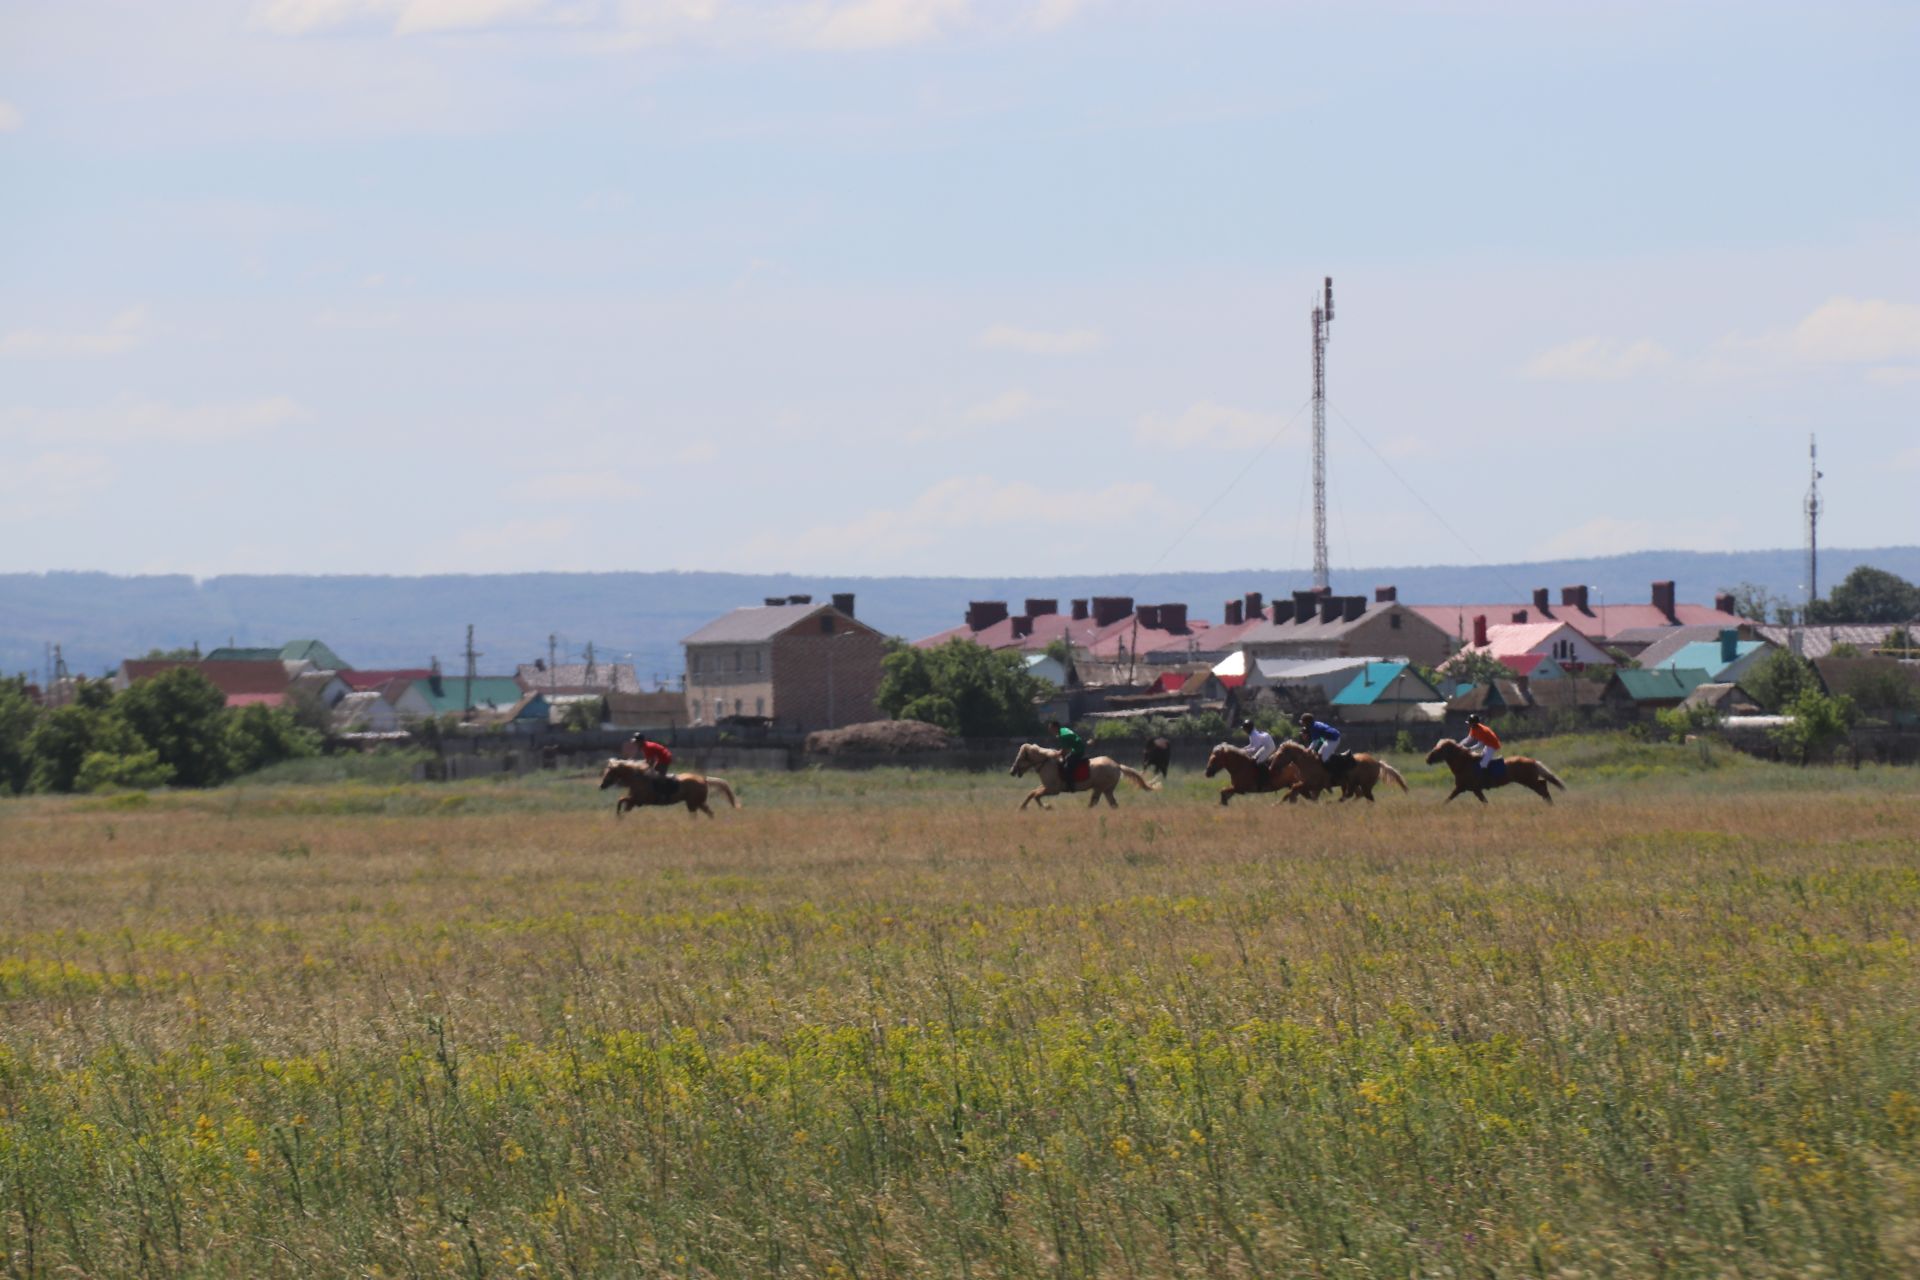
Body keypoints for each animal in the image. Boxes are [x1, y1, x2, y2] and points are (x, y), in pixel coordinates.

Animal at [599, 759, 741, 821]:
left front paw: (618, 816)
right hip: (697, 803)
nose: (602, 785)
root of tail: (703, 779)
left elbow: (620, 800)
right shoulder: (633, 802)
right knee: (708, 813)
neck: (638, 778)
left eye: (609, 772)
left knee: (701, 814)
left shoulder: (638, 800)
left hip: (694, 803)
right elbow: (623, 804)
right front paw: (620, 817)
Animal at [1006, 740, 1152, 809]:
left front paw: (1047, 807)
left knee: (1094, 802)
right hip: (1107, 790)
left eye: (1021, 758)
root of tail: (1117, 765)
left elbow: (1036, 795)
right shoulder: (1046, 787)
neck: (1046, 762)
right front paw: (1022, 807)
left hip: (1099, 788)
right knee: (1112, 804)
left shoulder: (1053, 789)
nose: (1012, 771)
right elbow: (1032, 793)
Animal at [1274, 736, 1413, 805]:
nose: (1272, 766)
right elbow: (1296, 791)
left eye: (1280, 754)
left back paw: (1334, 803)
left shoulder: (1314, 785)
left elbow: (1296, 789)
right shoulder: (1311, 786)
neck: (1307, 762)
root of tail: (1377, 763)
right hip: (1353, 784)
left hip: (1364, 785)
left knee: (1365, 797)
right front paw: (1281, 802)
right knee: (1356, 795)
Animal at [1420, 736, 1566, 805]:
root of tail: (1532, 761)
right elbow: (1484, 802)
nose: (1427, 759)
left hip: (1528, 781)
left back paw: (1550, 804)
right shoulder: (1474, 789)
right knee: (1543, 785)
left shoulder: (1463, 788)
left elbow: (1448, 799)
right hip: (1529, 780)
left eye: (1439, 749)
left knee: (1542, 787)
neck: (1464, 764)